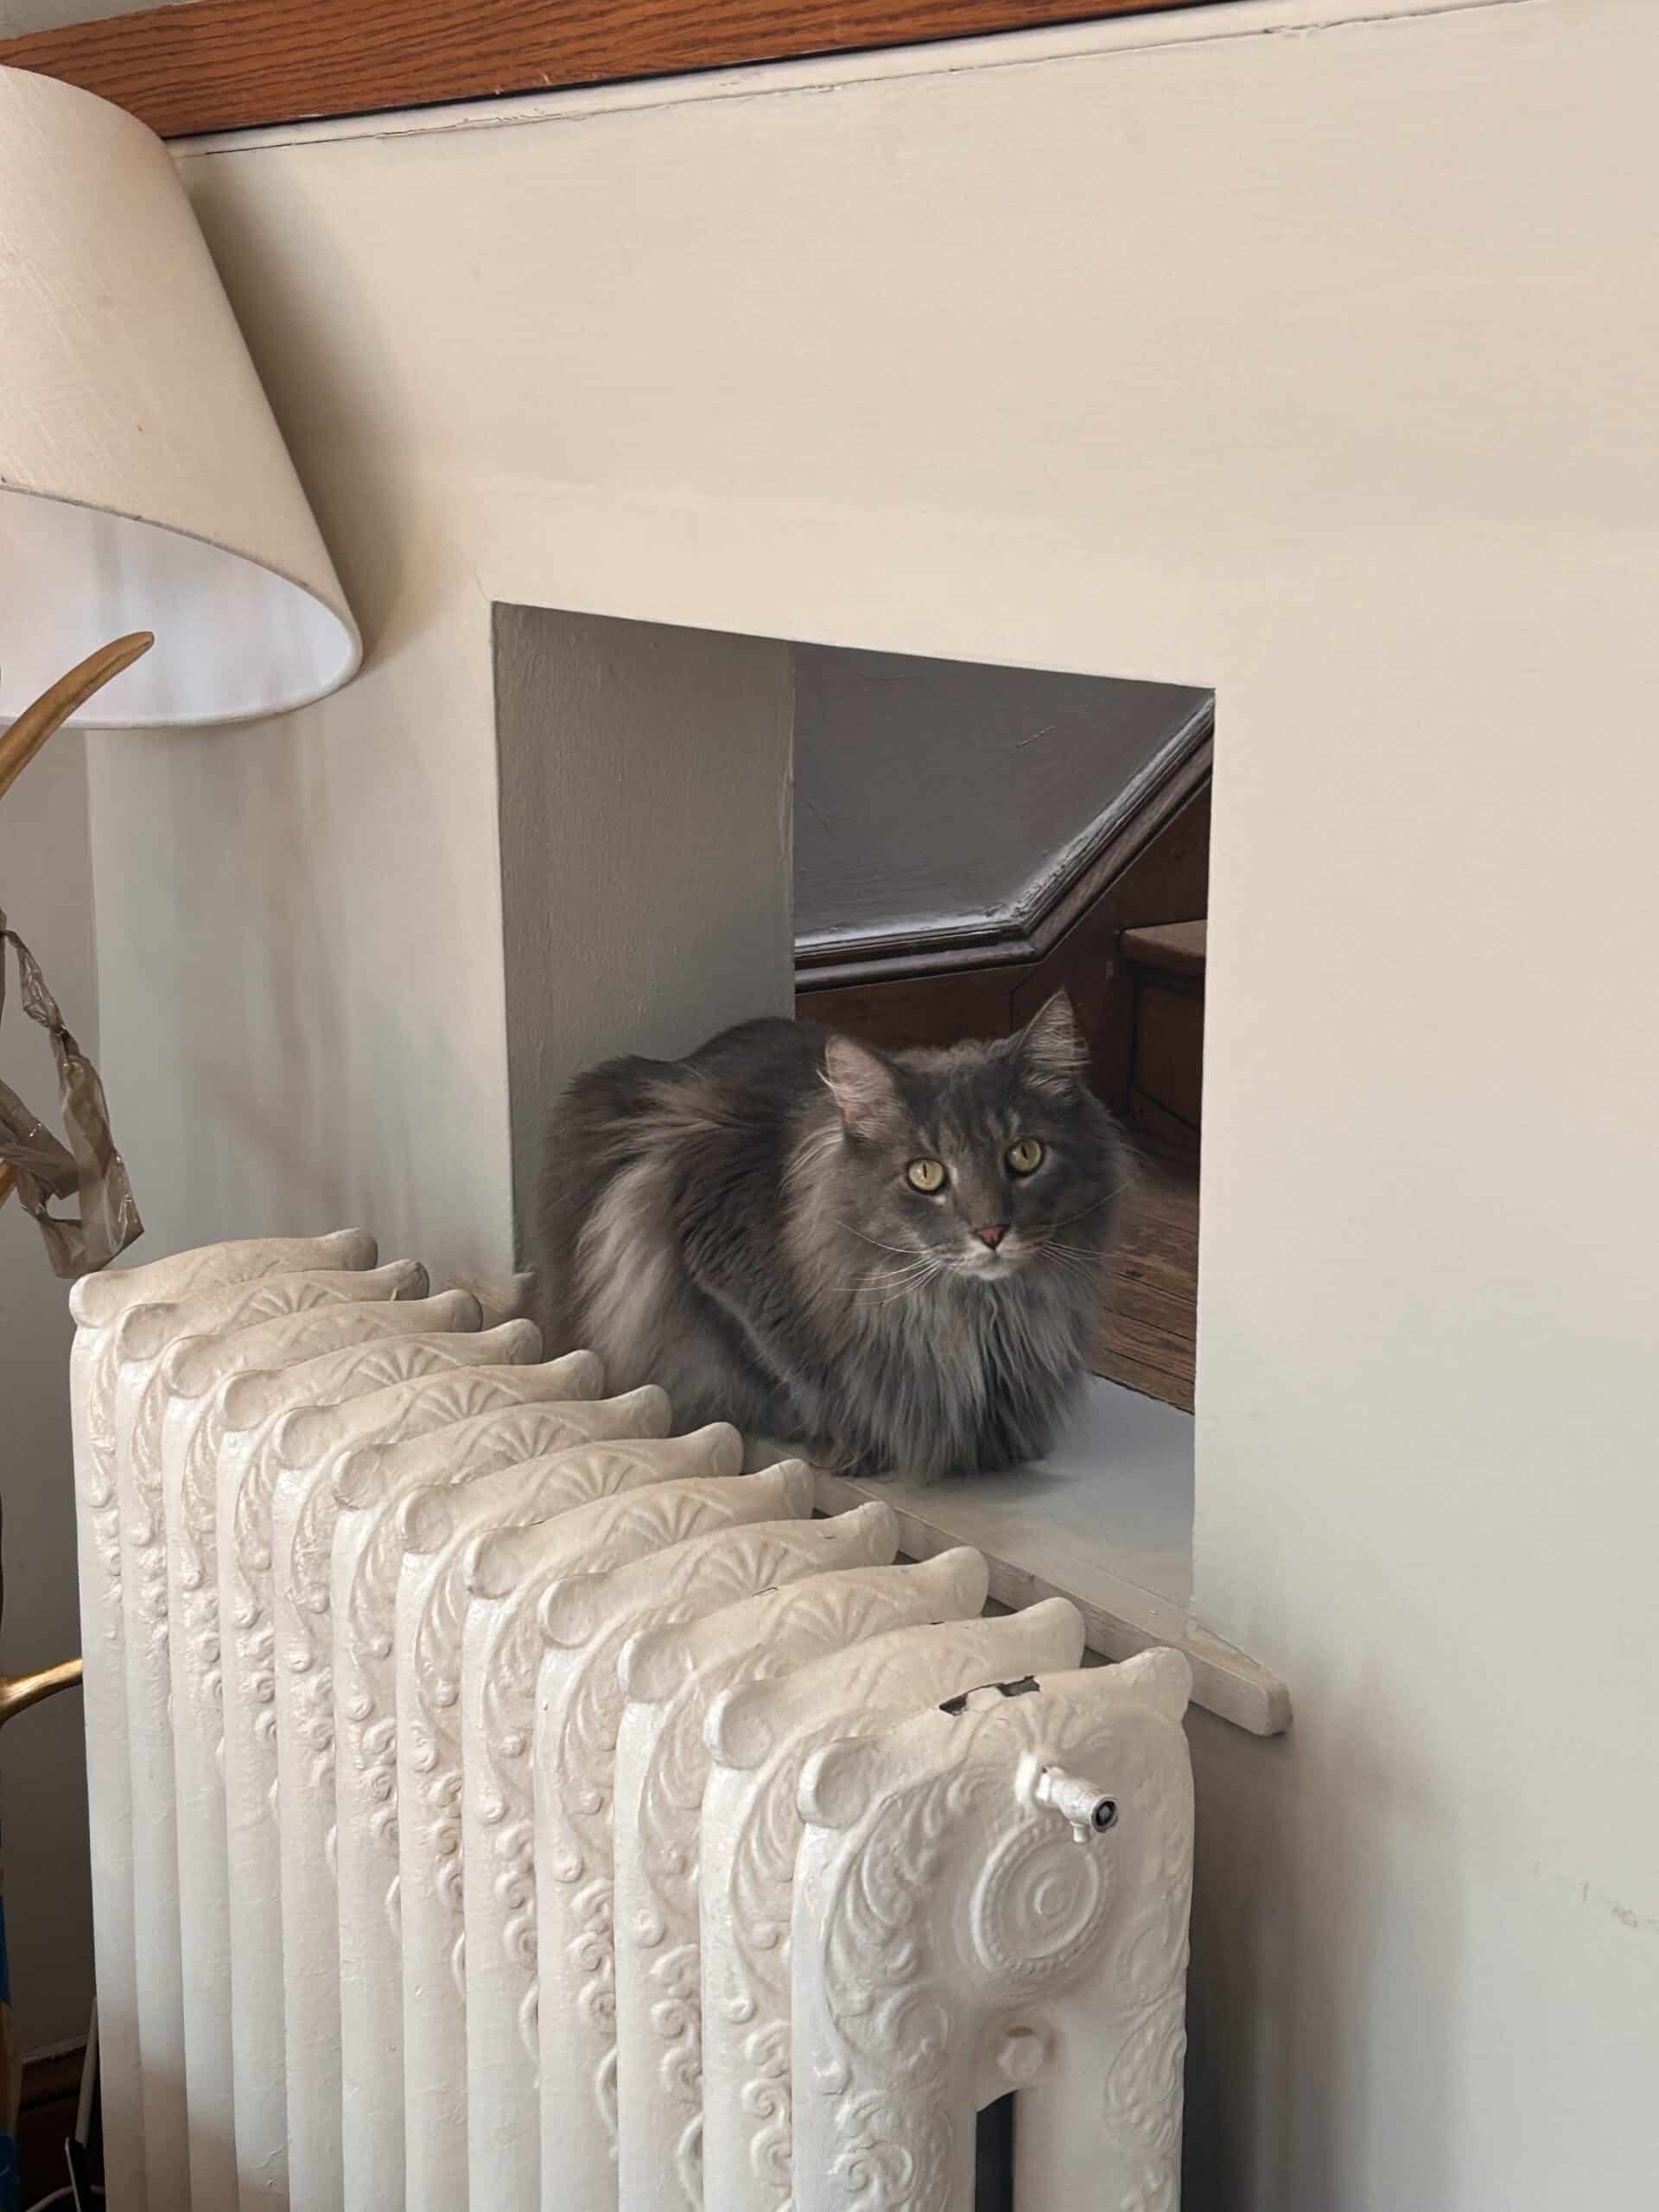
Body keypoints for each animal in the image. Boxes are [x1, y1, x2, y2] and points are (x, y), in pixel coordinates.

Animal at [532, 995, 1132, 1478]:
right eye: (926, 1174)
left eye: (1025, 1155)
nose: (991, 1231)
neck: (967, 1309)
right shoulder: (710, 1241)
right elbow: (791, 1367)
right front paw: (856, 1444)